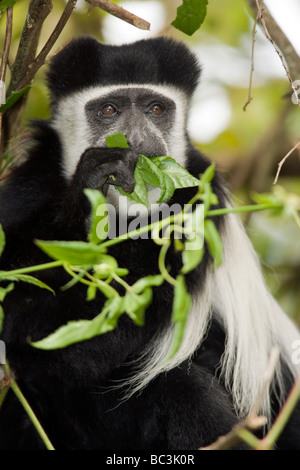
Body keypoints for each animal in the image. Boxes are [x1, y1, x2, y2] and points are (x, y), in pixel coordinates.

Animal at [0, 35, 300, 448]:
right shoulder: (30, 183)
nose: (139, 142)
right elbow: (19, 304)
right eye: (108, 109)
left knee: (180, 384)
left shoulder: (198, 205)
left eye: (156, 109)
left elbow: (95, 338)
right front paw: (90, 186)